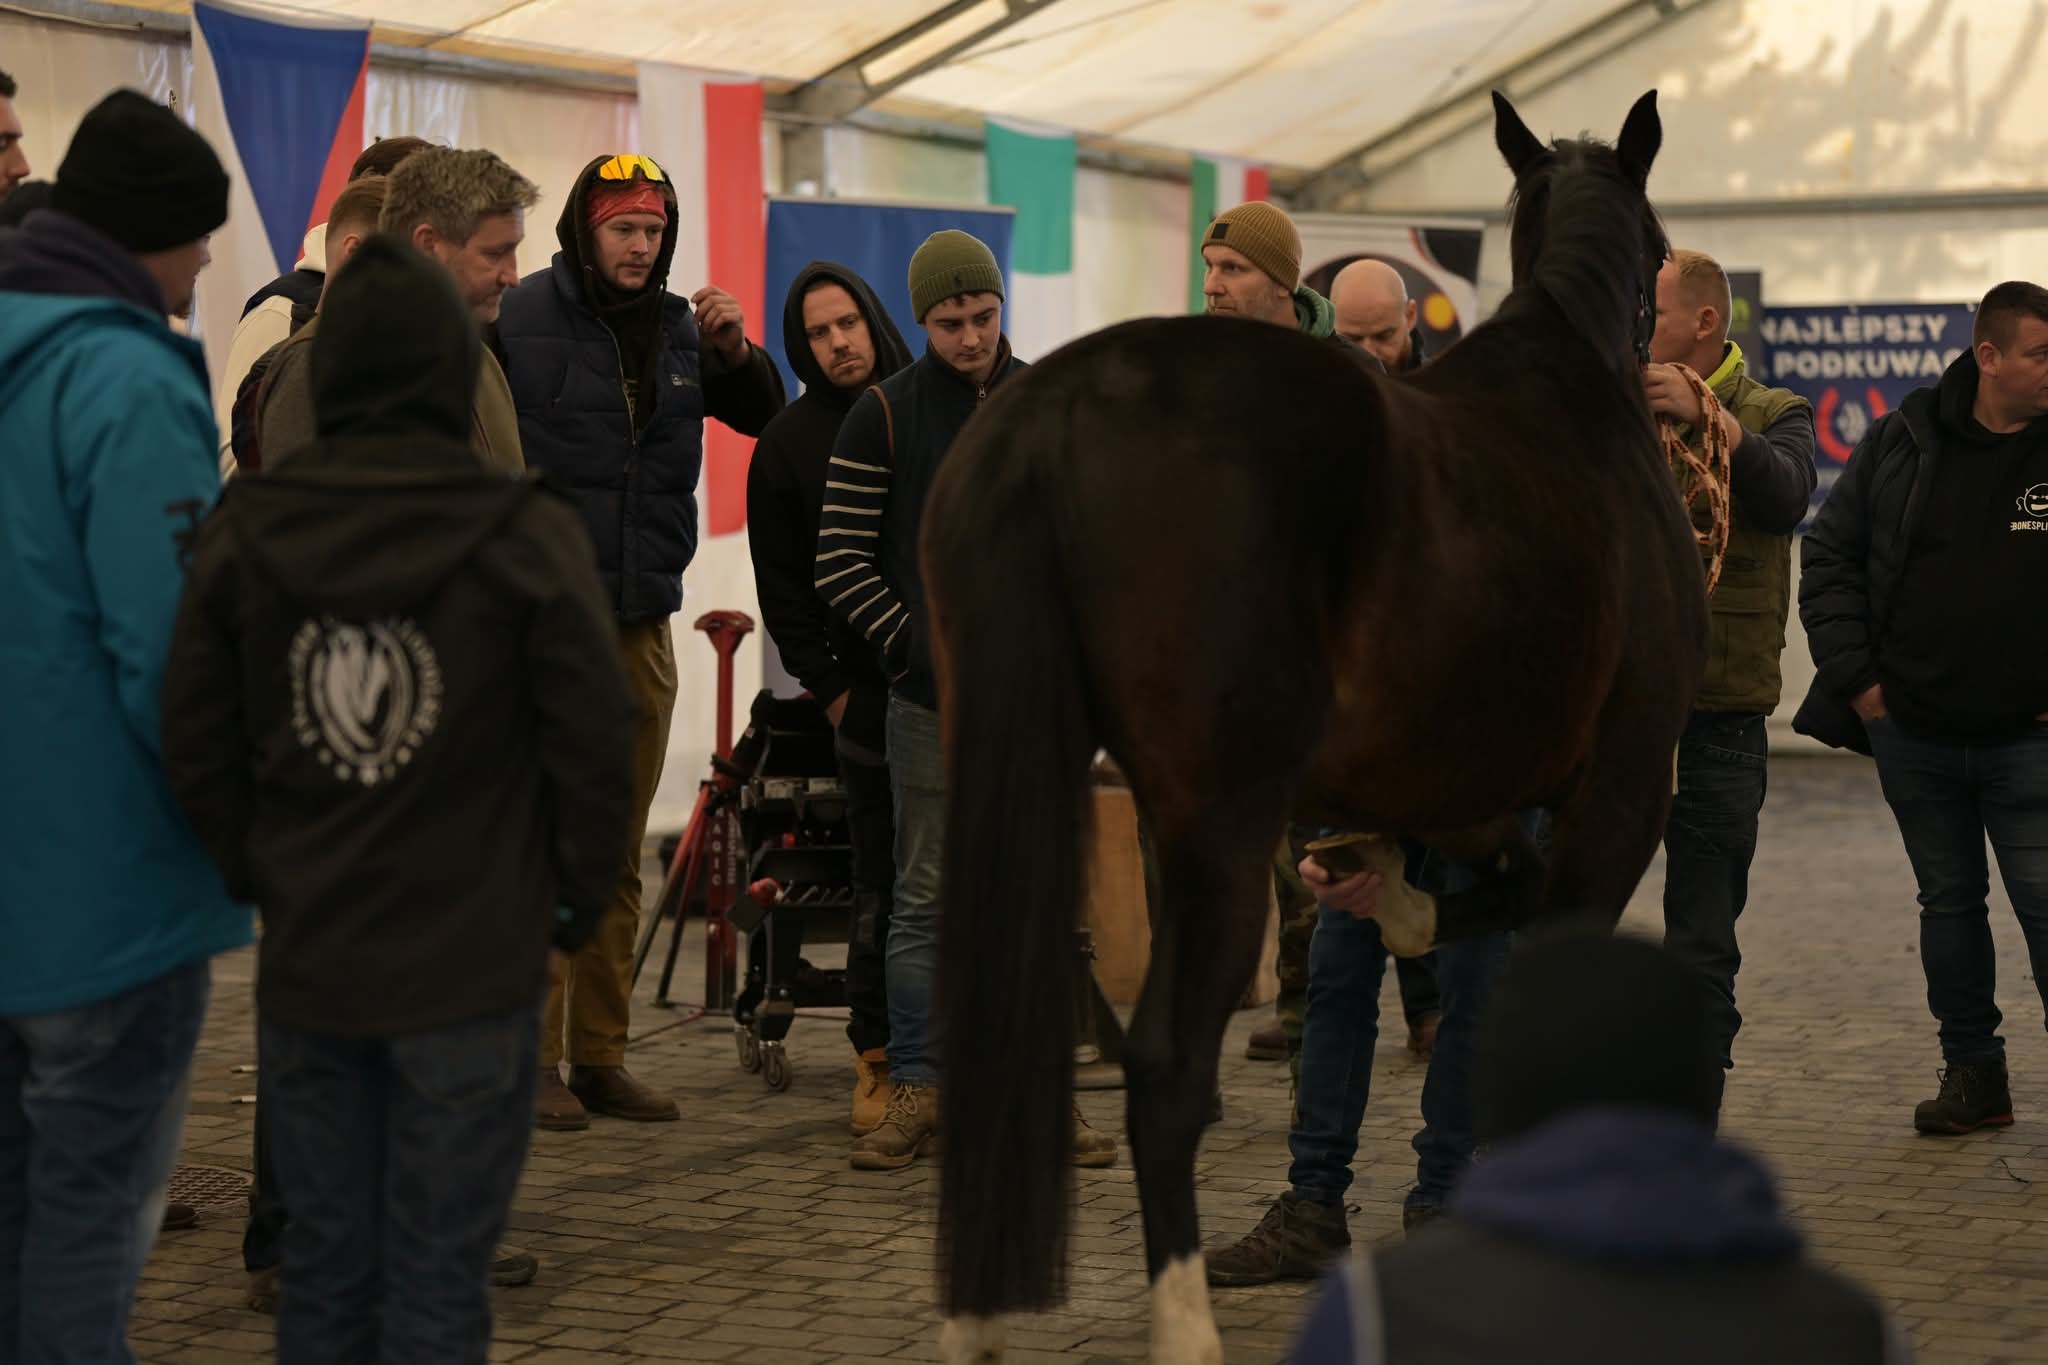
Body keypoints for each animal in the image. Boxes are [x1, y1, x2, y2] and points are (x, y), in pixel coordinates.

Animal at [921, 90, 1704, 1363]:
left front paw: (1387, 894)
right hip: (1215, 829)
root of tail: (1048, 409)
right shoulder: (1621, 789)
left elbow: (1481, 891)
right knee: (1163, 1070)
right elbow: (1548, 942)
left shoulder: (1456, 783)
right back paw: (1184, 1328)